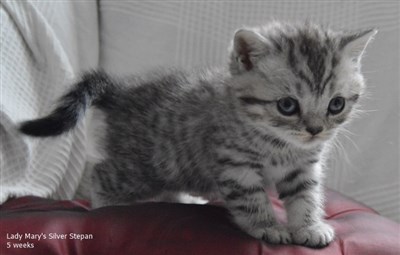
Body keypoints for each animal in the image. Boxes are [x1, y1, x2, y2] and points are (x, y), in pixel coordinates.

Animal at [18, 22, 376, 249]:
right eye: (287, 105)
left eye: (336, 104)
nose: (315, 130)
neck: (279, 144)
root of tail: (122, 91)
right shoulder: (237, 167)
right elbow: (253, 200)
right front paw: (268, 227)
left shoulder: (303, 168)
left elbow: (306, 196)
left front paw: (308, 226)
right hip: (139, 168)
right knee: (101, 173)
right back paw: (102, 207)